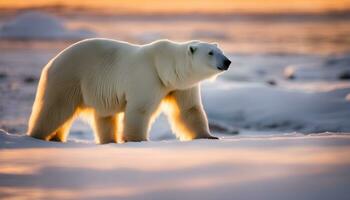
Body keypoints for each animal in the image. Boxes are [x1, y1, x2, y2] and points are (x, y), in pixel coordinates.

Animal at [26, 38, 230, 144]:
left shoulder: (180, 87)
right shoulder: (147, 77)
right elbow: (139, 109)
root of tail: (51, 63)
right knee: (55, 109)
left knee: (105, 117)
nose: (227, 61)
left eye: (219, 51)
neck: (165, 68)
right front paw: (137, 140)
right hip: (69, 78)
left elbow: (189, 110)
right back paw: (37, 136)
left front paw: (209, 136)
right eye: (210, 53)